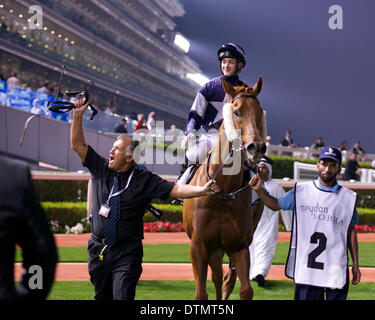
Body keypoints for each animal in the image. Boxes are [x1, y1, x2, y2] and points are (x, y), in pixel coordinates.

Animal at [183, 77, 266, 300]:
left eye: (259, 111)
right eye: (236, 112)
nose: (257, 147)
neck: (222, 192)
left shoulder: (239, 245)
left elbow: (244, 289)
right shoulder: (199, 246)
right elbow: (201, 293)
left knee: (226, 279)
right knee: (218, 277)